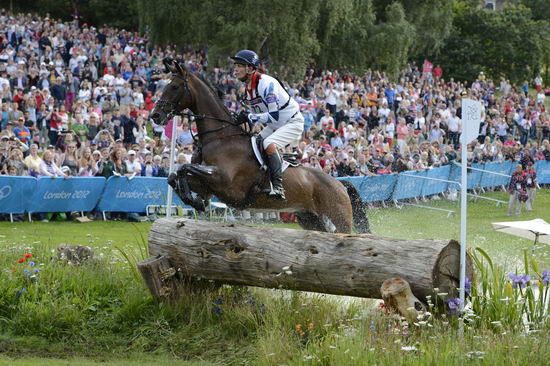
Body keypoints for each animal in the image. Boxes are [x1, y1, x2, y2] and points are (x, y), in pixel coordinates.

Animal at [150, 58, 370, 233]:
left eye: (175, 87)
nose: (155, 116)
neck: (220, 137)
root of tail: (339, 183)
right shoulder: (209, 183)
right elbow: (174, 175)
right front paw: (195, 200)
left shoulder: (224, 181)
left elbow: (183, 167)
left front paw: (193, 199)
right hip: (309, 218)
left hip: (339, 217)